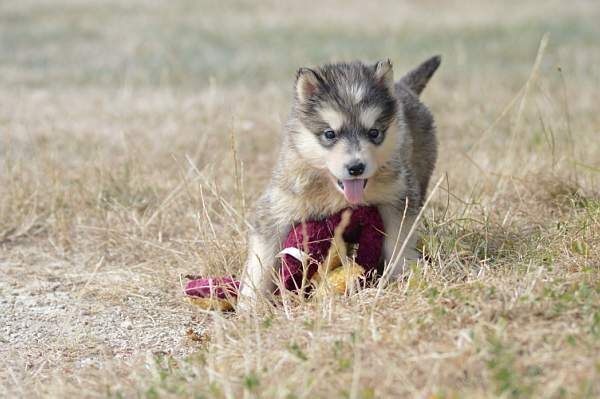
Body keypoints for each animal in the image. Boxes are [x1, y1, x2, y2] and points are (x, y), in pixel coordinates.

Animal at [239, 55, 440, 306]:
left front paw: (402, 276)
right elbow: (261, 260)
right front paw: (250, 303)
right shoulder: (277, 207)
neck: (335, 192)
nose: (356, 167)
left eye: (374, 133)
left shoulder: (398, 197)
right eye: (329, 134)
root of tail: (403, 87)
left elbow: (398, 240)